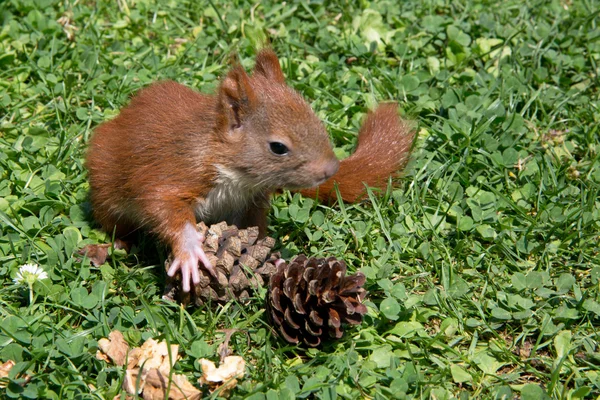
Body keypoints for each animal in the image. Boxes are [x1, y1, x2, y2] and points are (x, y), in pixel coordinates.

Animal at [86, 50, 414, 294]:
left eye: (316, 121)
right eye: (278, 147)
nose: (331, 169)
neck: (236, 174)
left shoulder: (251, 202)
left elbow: (256, 230)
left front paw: (276, 262)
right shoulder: (174, 172)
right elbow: (162, 206)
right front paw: (190, 251)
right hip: (106, 189)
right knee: (116, 225)